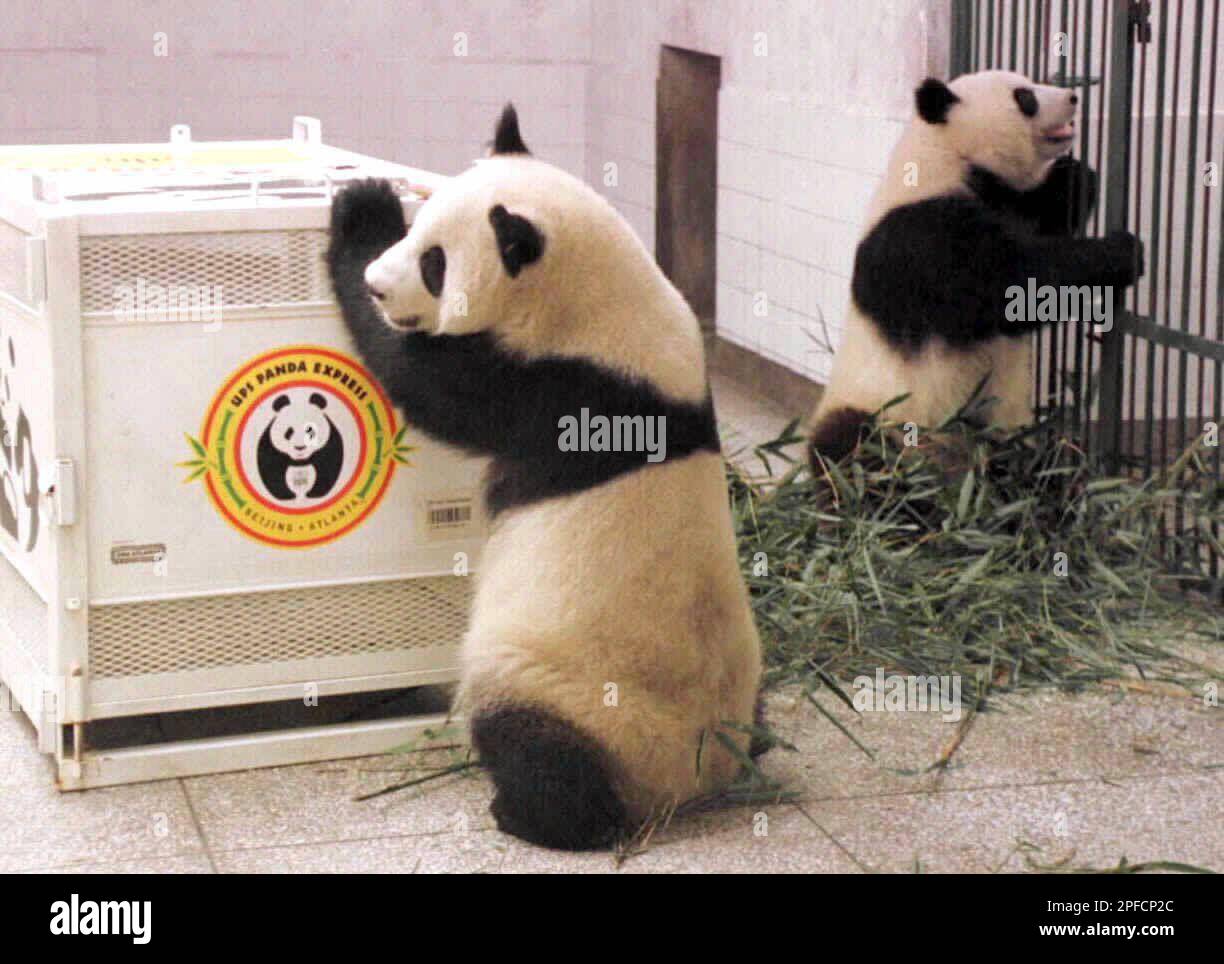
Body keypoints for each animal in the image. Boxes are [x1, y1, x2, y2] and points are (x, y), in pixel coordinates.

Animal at [326, 105, 762, 850]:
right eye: (419, 232)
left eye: (435, 263)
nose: (383, 285)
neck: (599, 299)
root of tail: (692, 781)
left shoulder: (550, 385)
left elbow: (422, 382)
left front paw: (360, 210)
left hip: (564, 687)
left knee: (539, 743)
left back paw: (533, 814)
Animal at [805, 70, 1144, 462]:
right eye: (1025, 97)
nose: (1073, 98)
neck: (948, 154)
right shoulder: (921, 234)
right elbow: (1007, 288)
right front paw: (1122, 252)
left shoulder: (1005, 202)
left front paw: (1075, 175)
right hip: (881, 411)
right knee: (849, 444)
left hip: (1008, 432)